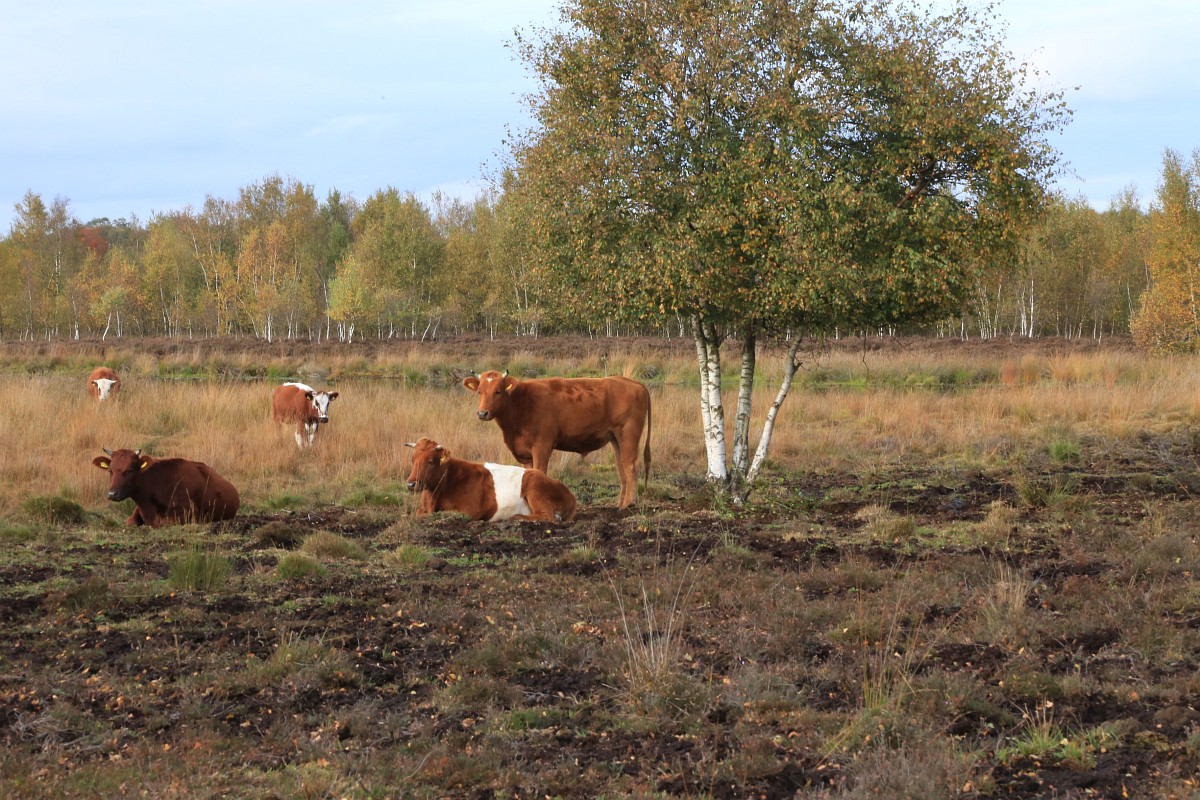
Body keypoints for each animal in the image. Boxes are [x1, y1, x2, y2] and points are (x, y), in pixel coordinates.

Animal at [405, 437, 577, 523]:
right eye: (412, 459)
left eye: (431, 461)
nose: (411, 484)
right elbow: (416, 514)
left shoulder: (469, 511)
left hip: (535, 487)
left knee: (547, 516)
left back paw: (515, 517)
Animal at [462, 370, 651, 509]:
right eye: (479, 392)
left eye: (498, 391)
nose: (482, 413)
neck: (521, 404)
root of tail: (635, 384)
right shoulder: (524, 454)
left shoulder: (542, 446)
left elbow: (540, 473)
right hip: (616, 439)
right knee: (621, 468)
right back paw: (619, 504)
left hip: (628, 435)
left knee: (631, 466)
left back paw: (628, 505)